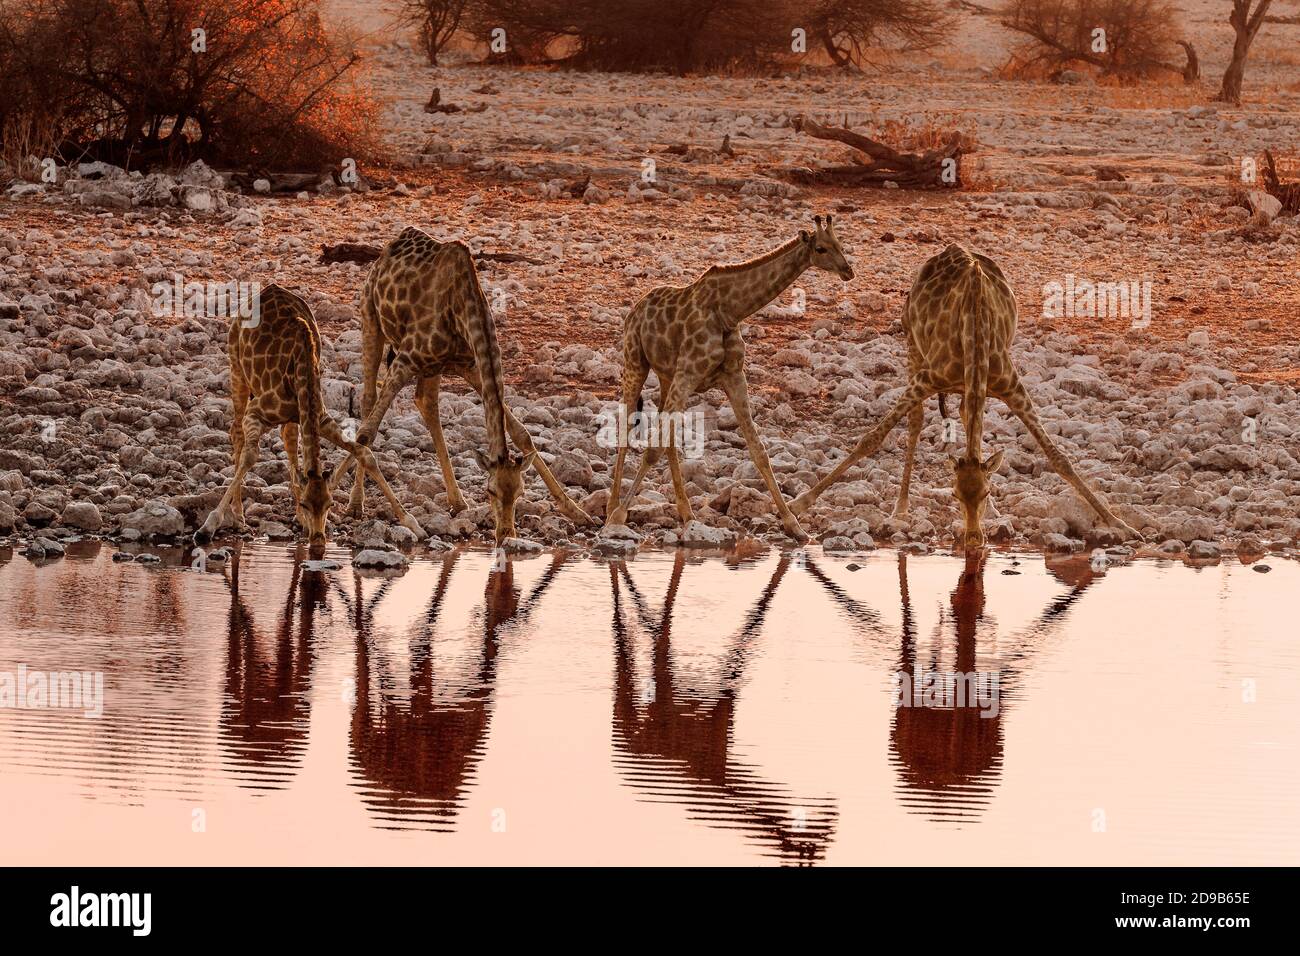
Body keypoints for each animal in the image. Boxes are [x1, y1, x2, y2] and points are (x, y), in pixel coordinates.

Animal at [196, 284, 419, 546]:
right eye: (306, 503)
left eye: (330, 504)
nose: (319, 539)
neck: (302, 368)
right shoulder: (257, 412)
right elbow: (250, 456)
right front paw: (207, 527)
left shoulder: (319, 416)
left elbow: (365, 453)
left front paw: (412, 523)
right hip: (236, 369)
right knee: (236, 432)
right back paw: (239, 516)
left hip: (291, 415)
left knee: (287, 439)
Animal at [344, 227, 593, 546]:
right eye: (490, 491)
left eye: (520, 492)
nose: (505, 534)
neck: (462, 307)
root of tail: (390, 246)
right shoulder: (406, 360)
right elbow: (366, 433)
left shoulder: (471, 363)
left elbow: (521, 433)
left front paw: (577, 512)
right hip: (372, 320)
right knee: (368, 401)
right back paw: (356, 504)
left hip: (435, 366)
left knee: (426, 402)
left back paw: (458, 500)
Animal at [605, 215, 854, 542]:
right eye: (821, 248)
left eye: (841, 244)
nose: (848, 271)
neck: (729, 310)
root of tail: (635, 310)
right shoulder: (688, 373)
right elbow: (652, 449)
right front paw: (618, 515)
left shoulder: (734, 376)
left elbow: (759, 450)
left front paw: (794, 525)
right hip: (635, 361)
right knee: (625, 427)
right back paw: (612, 506)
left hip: (665, 375)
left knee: (667, 436)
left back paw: (687, 513)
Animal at [789, 244, 1144, 548]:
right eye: (955, 495)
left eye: (985, 493)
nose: (974, 539)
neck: (975, 328)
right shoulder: (928, 377)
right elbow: (871, 439)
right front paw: (798, 504)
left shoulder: (1011, 386)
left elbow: (1059, 458)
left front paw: (1121, 525)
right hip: (912, 345)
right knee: (917, 420)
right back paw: (901, 507)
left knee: (964, 413)